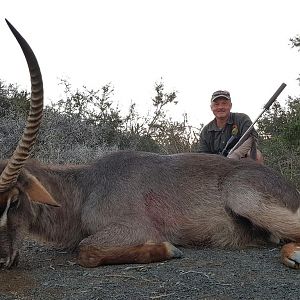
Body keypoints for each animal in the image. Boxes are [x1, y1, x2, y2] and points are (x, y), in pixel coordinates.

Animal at [0, 21, 300, 270]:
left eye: (13, 201)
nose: (3, 260)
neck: (86, 186)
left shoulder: (134, 228)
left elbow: (86, 250)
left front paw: (169, 249)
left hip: (245, 199)